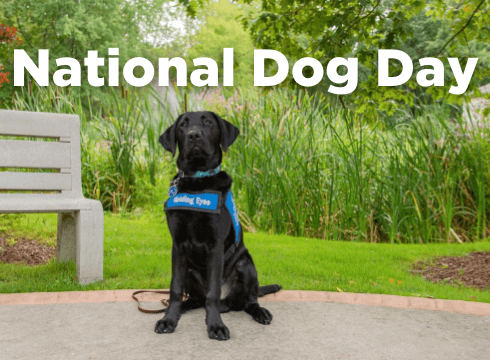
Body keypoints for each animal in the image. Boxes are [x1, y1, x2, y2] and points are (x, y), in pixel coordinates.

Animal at [155, 112, 282, 340]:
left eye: (208, 122)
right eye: (183, 124)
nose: (193, 135)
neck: (197, 183)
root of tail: (227, 301)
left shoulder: (215, 245)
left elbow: (212, 293)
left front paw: (215, 325)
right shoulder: (178, 245)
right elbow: (175, 289)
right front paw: (169, 319)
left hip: (246, 264)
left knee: (248, 301)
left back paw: (259, 312)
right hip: (190, 270)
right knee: (196, 299)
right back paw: (181, 308)